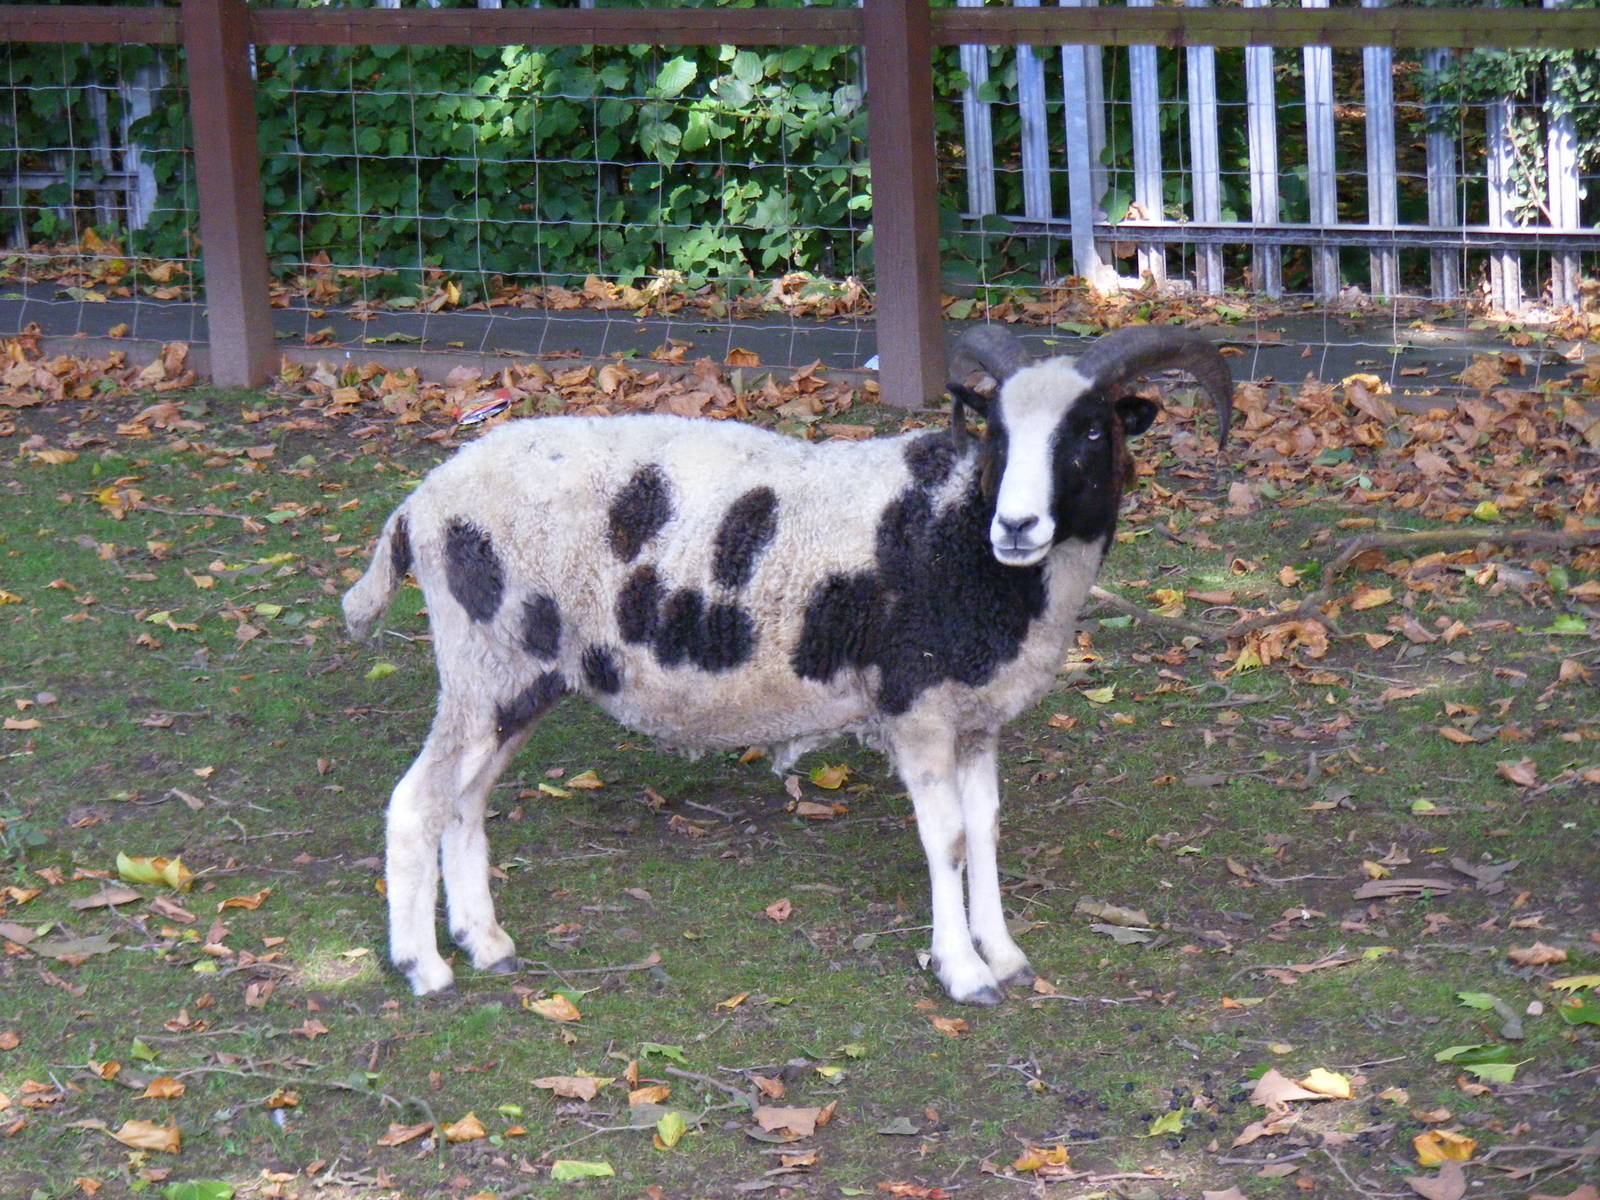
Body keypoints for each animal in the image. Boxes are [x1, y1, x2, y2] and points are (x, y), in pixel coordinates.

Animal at [343, 325, 1233, 1004]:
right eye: (998, 435)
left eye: (1091, 431)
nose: (1017, 526)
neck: (961, 538)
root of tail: (418, 502)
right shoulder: (916, 705)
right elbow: (945, 838)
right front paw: (963, 971)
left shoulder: (975, 717)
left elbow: (983, 830)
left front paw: (1005, 954)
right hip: (482, 663)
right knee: (415, 803)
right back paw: (424, 967)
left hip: (519, 680)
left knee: (465, 801)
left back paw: (485, 941)